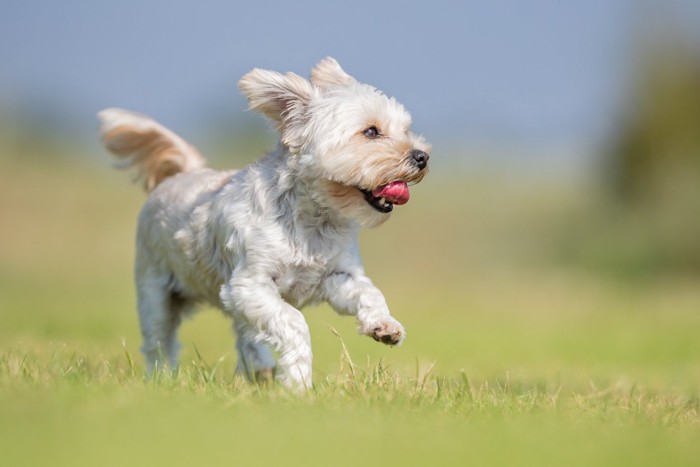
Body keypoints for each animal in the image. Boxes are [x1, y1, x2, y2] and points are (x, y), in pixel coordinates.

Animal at [97, 56, 426, 390]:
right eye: (371, 131)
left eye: (405, 129)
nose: (421, 156)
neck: (313, 221)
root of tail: (184, 172)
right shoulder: (248, 285)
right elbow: (293, 322)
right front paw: (298, 384)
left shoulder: (337, 276)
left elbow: (368, 292)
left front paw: (385, 325)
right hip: (156, 289)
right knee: (159, 340)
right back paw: (162, 377)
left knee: (245, 333)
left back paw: (259, 367)